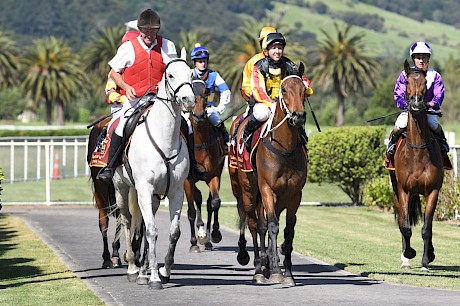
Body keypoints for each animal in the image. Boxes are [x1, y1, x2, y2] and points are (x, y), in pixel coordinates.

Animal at [113, 54, 196, 290]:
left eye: (191, 74)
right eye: (171, 75)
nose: (188, 99)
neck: (164, 139)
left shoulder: (176, 192)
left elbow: (174, 232)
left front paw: (164, 271)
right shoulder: (144, 189)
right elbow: (151, 231)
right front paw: (155, 279)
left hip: (154, 197)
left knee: (139, 225)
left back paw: (142, 271)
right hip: (123, 189)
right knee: (128, 221)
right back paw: (134, 268)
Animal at [230, 65, 310, 286]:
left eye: (303, 90)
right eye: (284, 90)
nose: (298, 116)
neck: (284, 150)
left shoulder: (294, 194)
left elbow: (288, 229)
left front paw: (288, 272)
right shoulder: (267, 188)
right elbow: (272, 225)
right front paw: (275, 270)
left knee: (261, 224)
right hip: (248, 191)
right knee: (253, 224)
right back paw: (259, 268)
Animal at [390, 59, 444, 272]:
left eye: (426, 82)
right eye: (406, 82)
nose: (416, 102)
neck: (417, 150)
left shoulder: (433, 190)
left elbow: (427, 228)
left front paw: (426, 259)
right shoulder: (404, 190)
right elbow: (405, 226)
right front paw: (409, 254)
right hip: (396, 191)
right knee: (401, 221)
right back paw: (405, 257)